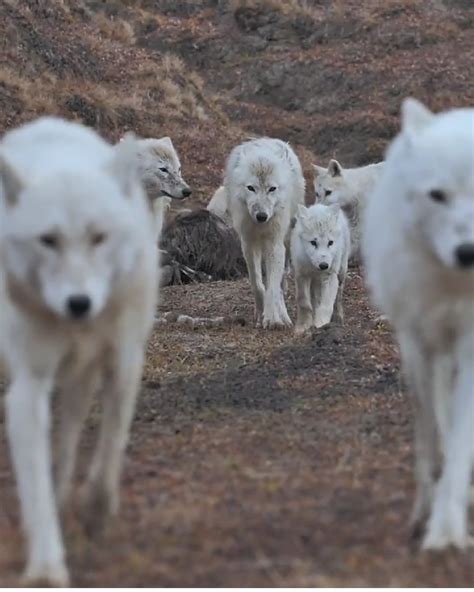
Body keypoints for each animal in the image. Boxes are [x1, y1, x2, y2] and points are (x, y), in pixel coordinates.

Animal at [0, 114, 160, 584]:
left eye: (98, 238)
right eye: (47, 240)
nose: (78, 303)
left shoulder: (123, 364)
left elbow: (110, 447)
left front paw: (95, 512)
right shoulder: (28, 387)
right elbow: (33, 481)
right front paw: (46, 568)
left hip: (80, 382)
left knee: (69, 439)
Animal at [225, 138, 306, 328]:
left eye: (272, 189)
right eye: (251, 188)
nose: (261, 216)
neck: (260, 226)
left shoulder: (274, 244)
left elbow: (273, 287)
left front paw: (273, 318)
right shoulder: (248, 244)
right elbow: (257, 284)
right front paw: (260, 312)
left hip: (286, 241)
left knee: (281, 282)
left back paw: (283, 314)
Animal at [290, 204, 350, 332]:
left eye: (330, 242)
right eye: (313, 242)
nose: (324, 265)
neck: (315, 268)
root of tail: (321, 206)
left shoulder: (330, 276)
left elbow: (326, 305)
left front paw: (321, 325)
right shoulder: (301, 275)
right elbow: (303, 302)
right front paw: (303, 326)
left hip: (341, 273)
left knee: (338, 297)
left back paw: (338, 317)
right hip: (314, 282)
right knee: (315, 299)